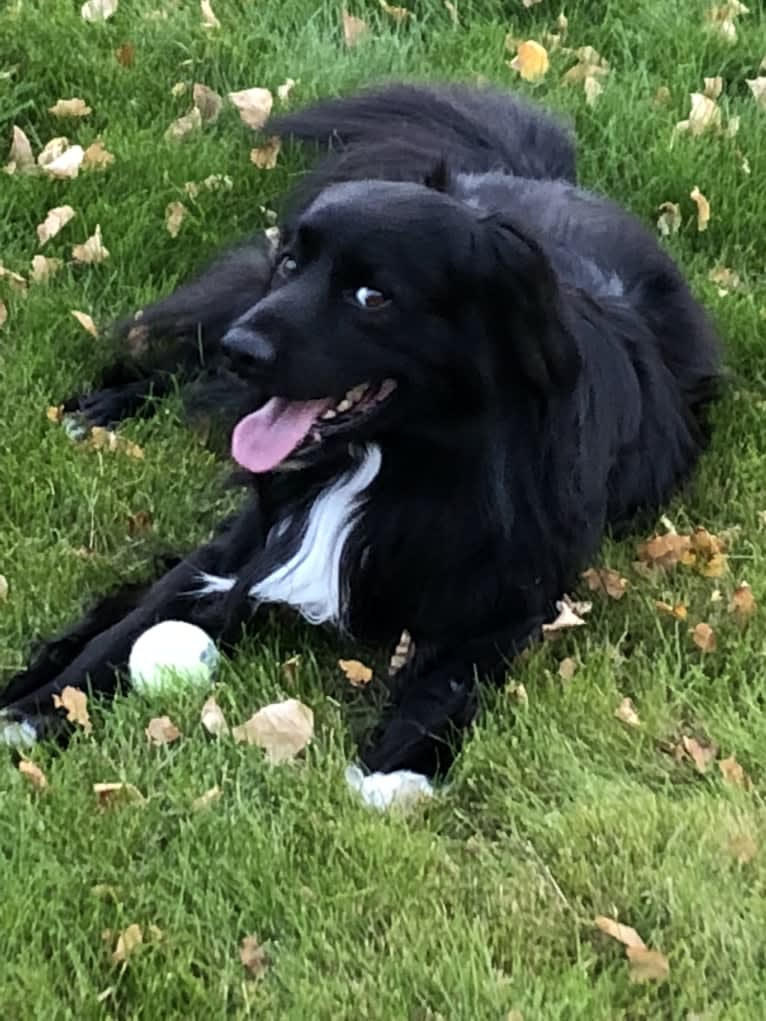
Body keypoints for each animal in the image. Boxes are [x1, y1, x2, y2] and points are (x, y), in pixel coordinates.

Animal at [0, 81, 723, 780]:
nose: (243, 351)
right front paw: (35, 710)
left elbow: (447, 682)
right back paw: (102, 409)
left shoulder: (511, 597)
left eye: (372, 297)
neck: (386, 461)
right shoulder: (247, 539)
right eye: (292, 264)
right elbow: (130, 624)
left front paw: (391, 774)